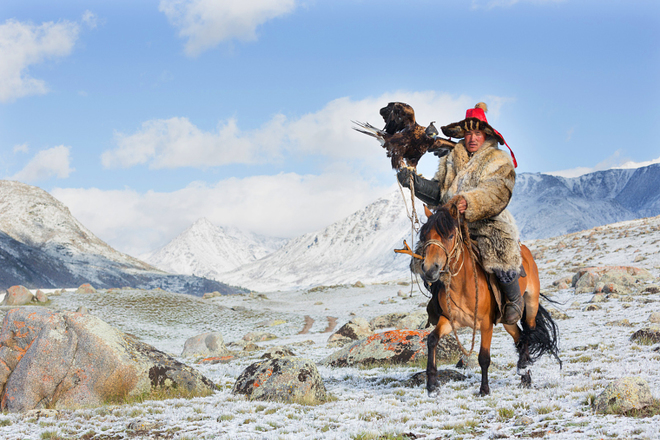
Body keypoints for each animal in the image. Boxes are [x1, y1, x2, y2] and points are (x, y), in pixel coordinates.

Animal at [416, 203, 560, 396]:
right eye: (424, 236)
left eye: (450, 235)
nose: (430, 269)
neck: (463, 285)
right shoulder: (449, 320)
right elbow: (432, 340)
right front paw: (432, 385)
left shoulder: (485, 324)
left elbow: (483, 357)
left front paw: (484, 389)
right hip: (507, 320)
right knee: (519, 337)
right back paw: (525, 377)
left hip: (531, 303)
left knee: (529, 331)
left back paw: (523, 365)